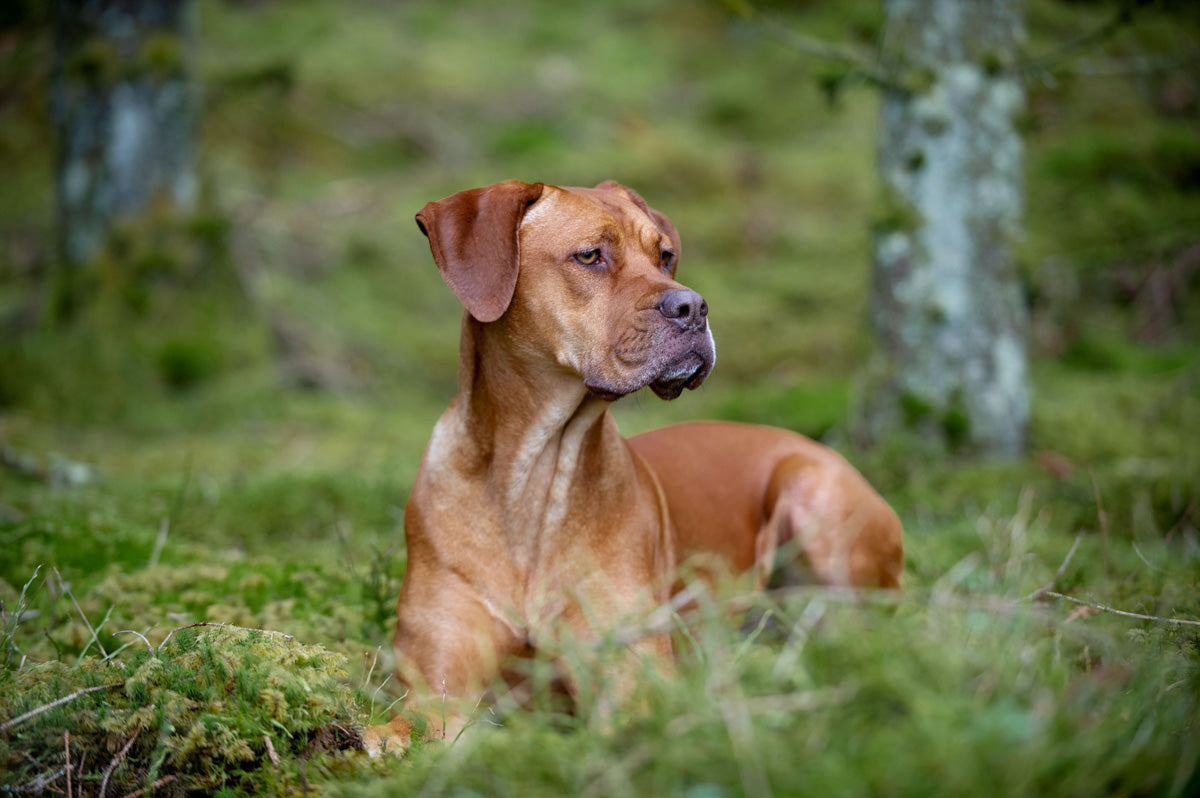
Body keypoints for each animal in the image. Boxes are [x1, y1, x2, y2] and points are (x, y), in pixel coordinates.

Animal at [374, 178, 902, 748]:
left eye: (664, 256)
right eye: (589, 256)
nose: (694, 306)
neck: (533, 477)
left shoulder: (632, 683)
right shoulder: (438, 689)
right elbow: (403, 729)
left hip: (815, 495)